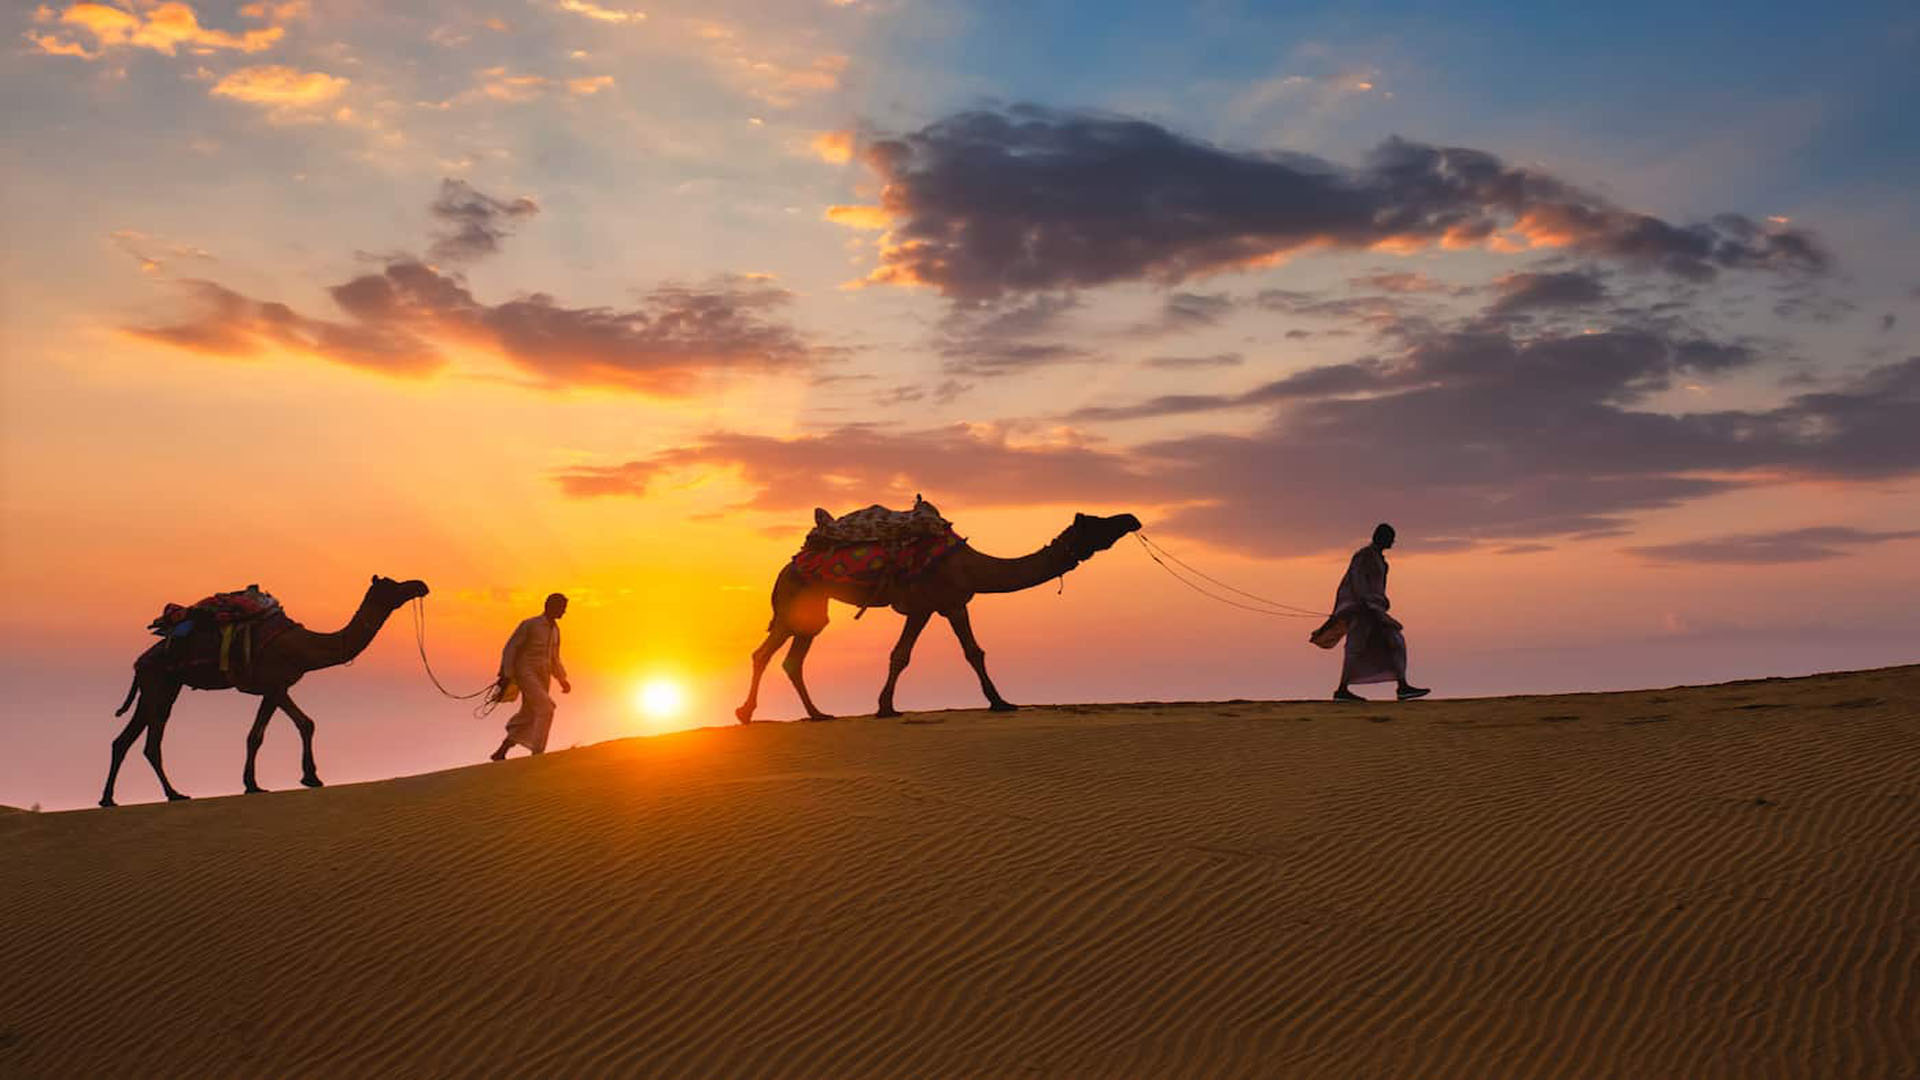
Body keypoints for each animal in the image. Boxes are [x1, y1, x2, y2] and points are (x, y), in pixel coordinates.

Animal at [102, 576, 432, 803]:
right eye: (393, 585)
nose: (420, 584)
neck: (305, 647)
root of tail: (139, 660)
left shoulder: (276, 687)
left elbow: (284, 728)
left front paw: (284, 780)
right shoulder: (274, 685)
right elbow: (278, 730)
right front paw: (280, 781)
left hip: (161, 686)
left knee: (124, 740)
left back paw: (109, 799)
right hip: (159, 683)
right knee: (150, 742)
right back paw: (174, 794)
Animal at [737, 507, 1136, 718]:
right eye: (1098, 522)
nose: (1131, 518)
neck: (971, 566)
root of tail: (790, 564)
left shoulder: (948, 604)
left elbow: (966, 651)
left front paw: (1000, 701)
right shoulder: (933, 604)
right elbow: (912, 654)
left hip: (812, 608)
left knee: (794, 657)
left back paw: (818, 715)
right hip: (794, 596)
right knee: (764, 653)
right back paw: (746, 713)